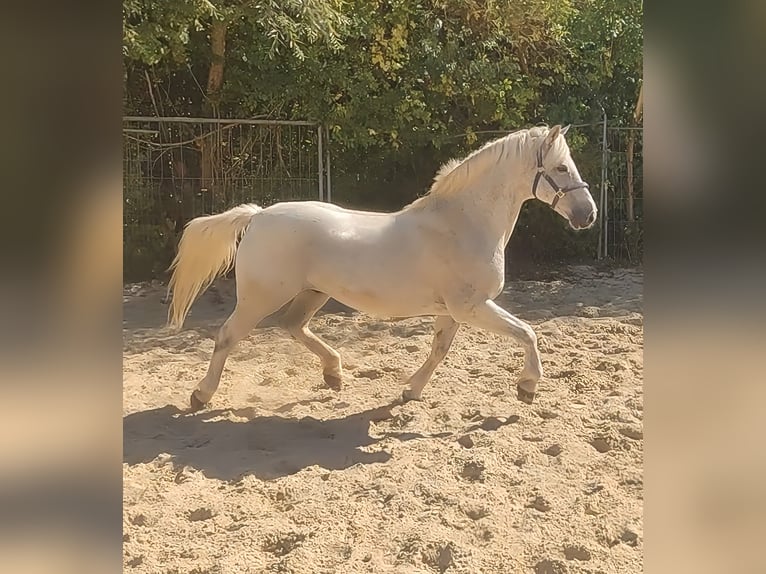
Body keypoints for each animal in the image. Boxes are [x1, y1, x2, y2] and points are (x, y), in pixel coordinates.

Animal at [167, 124, 597, 411]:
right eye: (561, 168)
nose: (588, 215)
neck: (461, 224)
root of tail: (257, 215)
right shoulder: (472, 308)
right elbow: (527, 333)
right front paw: (527, 387)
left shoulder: (452, 312)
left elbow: (439, 350)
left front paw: (410, 392)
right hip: (260, 297)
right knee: (227, 337)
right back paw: (201, 395)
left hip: (312, 293)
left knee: (292, 326)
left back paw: (334, 374)